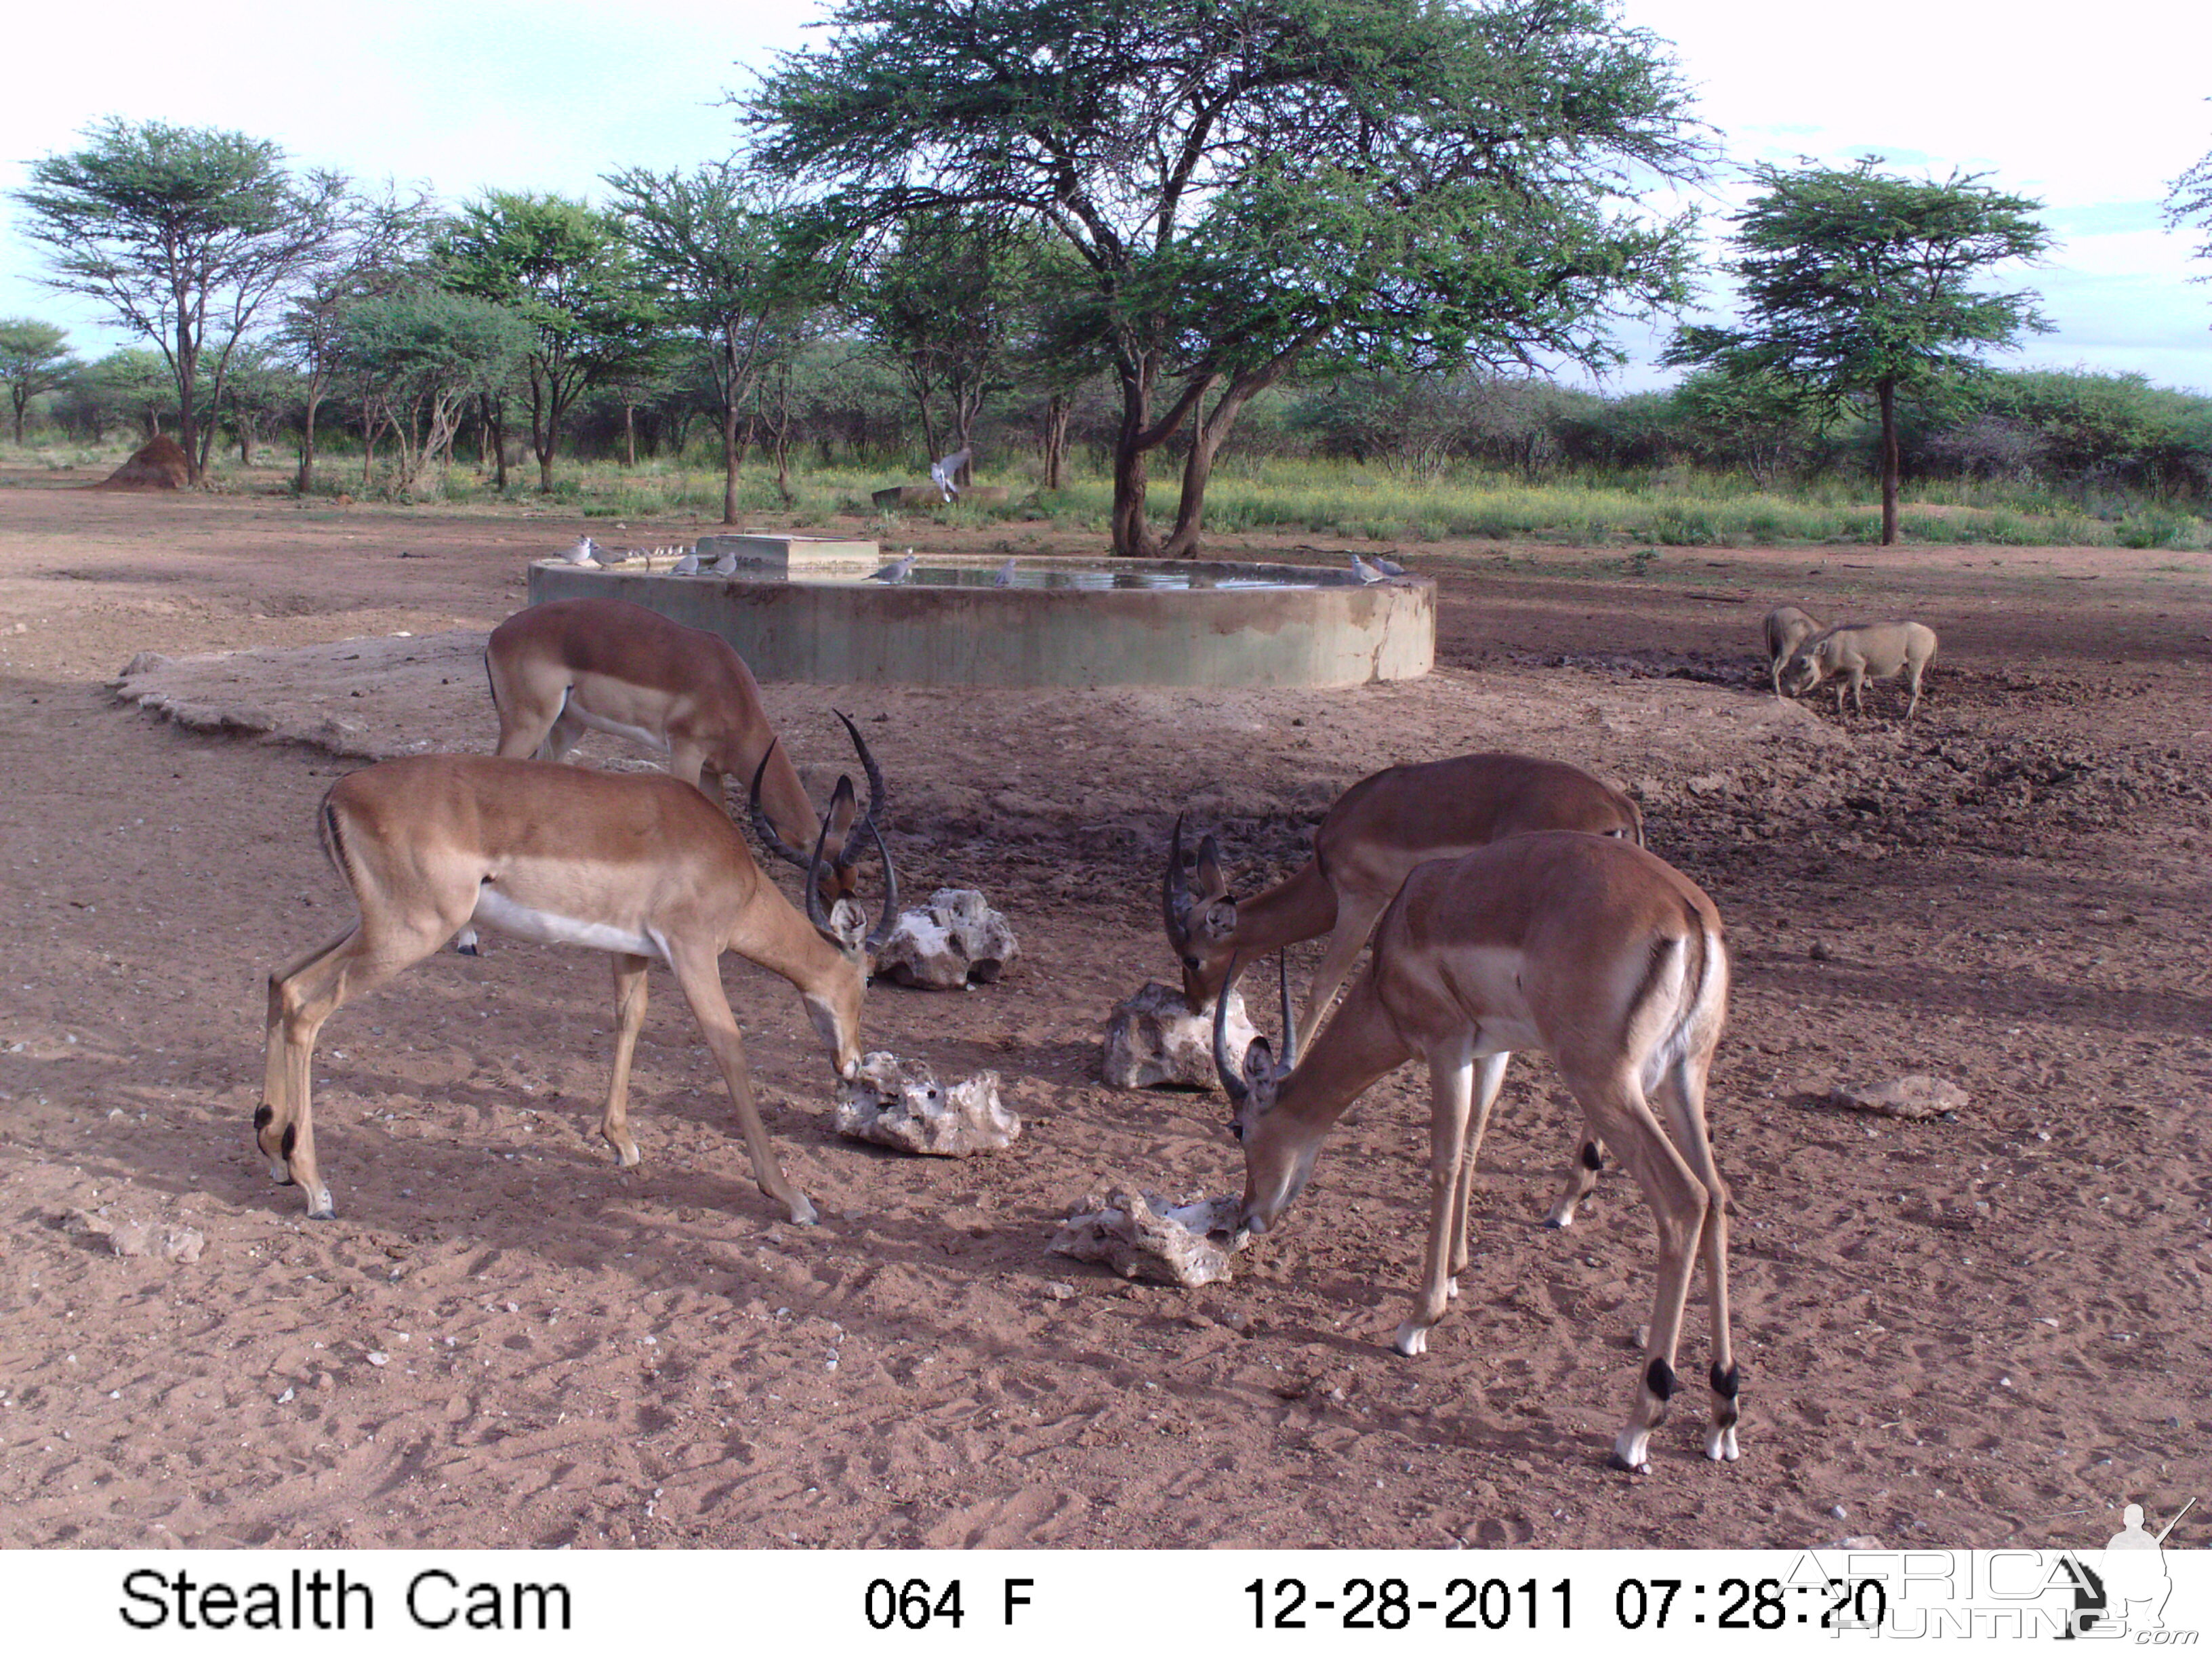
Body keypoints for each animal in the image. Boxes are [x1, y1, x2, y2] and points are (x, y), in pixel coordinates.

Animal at [251, 747, 889, 1229]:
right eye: (867, 979)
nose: (853, 1063)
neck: (733, 868)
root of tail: (339, 792)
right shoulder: (692, 953)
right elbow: (727, 1046)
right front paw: (793, 1198)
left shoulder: (633, 953)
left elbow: (630, 1018)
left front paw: (621, 1143)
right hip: (411, 931)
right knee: (307, 1006)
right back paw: (316, 1190)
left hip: (374, 925)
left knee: (281, 978)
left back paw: (274, 1151)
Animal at [1168, 756, 1637, 1238]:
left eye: (1192, 958)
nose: (1195, 1007)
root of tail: (1620, 809)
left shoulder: (1361, 902)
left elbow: (1323, 987)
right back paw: (1573, 1195)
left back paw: (1565, 1203)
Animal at [1221, 836, 1734, 1477]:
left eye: (1239, 1128)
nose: (1247, 1216)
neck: (1401, 933)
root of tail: (1690, 916)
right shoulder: (1492, 1050)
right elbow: (1471, 1146)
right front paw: (1456, 1272)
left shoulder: (1446, 1047)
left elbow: (1442, 1162)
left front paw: (1419, 1320)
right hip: (1682, 1079)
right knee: (1718, 1195)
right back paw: (1722, 1414)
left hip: (1607, 1084)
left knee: (1684, 1200)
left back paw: (1638, 1427)